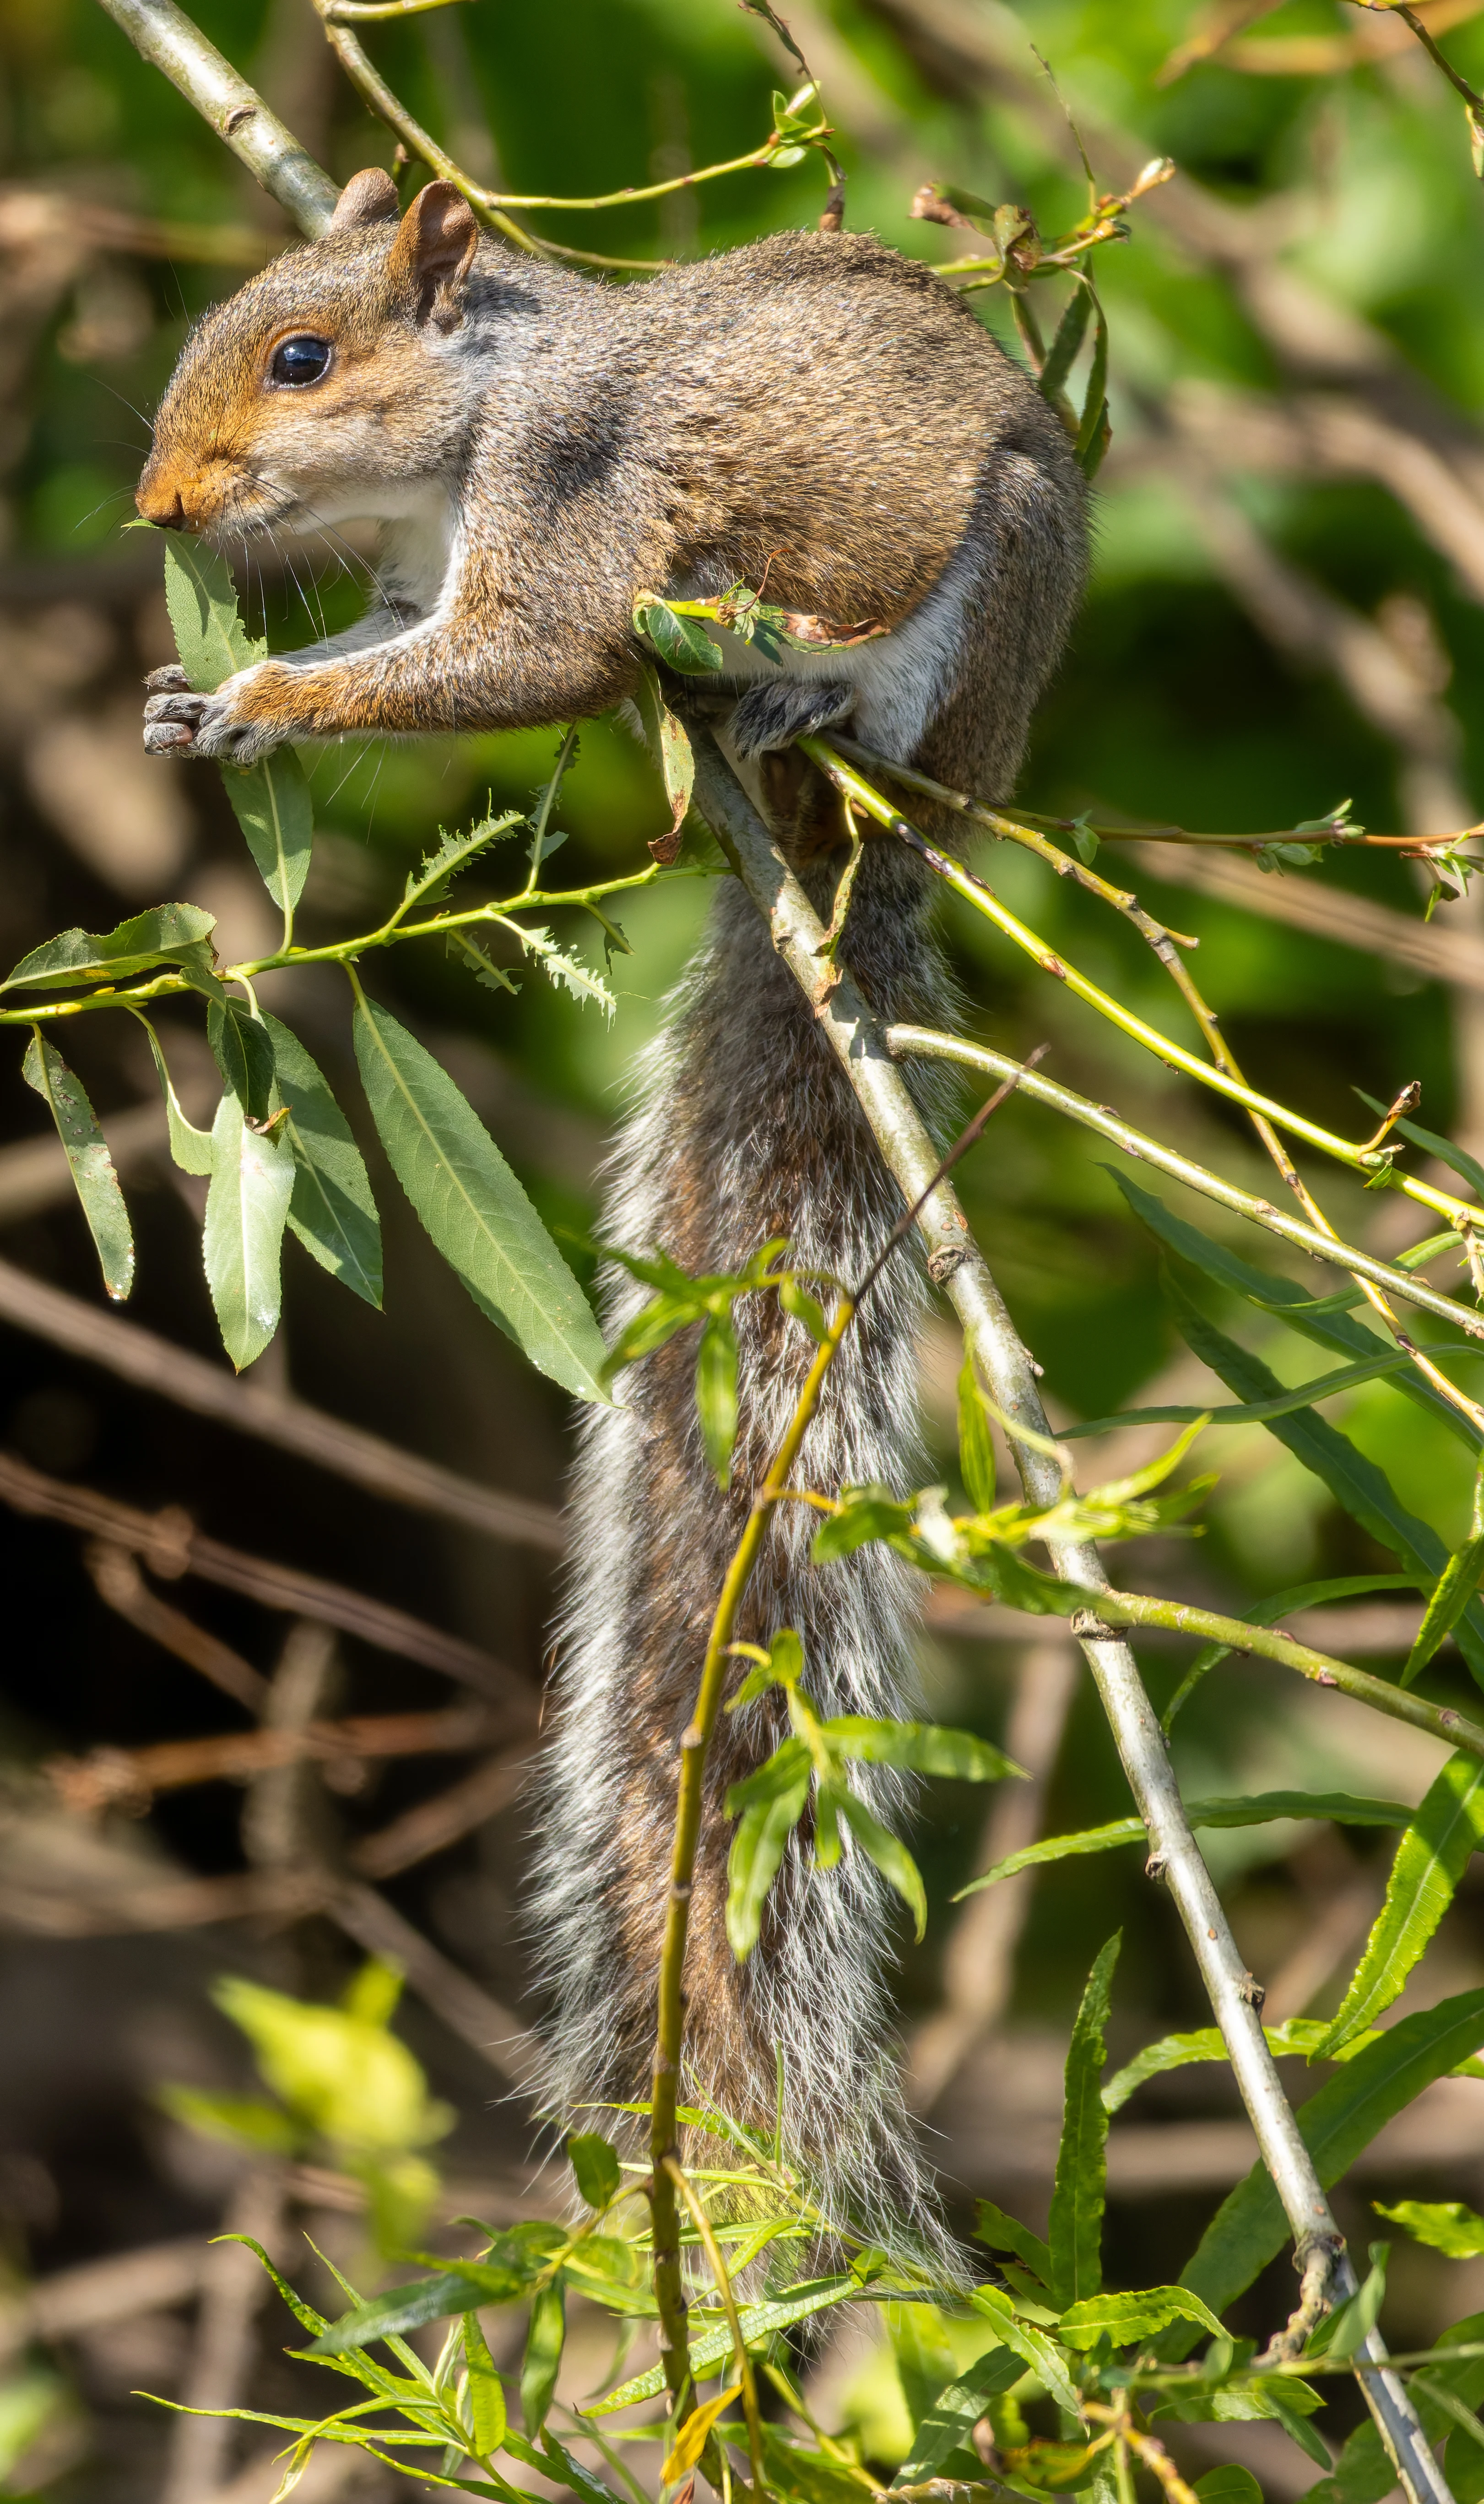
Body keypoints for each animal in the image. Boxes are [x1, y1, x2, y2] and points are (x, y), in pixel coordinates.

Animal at [137, 167, 1087, 2246]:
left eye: (303, 357)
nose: (158, 511)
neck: (485, 406)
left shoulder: (569, 518)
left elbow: (522, 659)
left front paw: (262, 697)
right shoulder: (422, 563)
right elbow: (411, 636)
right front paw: (207, 686)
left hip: (974, 613)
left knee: (882, 730)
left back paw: (805, 694)